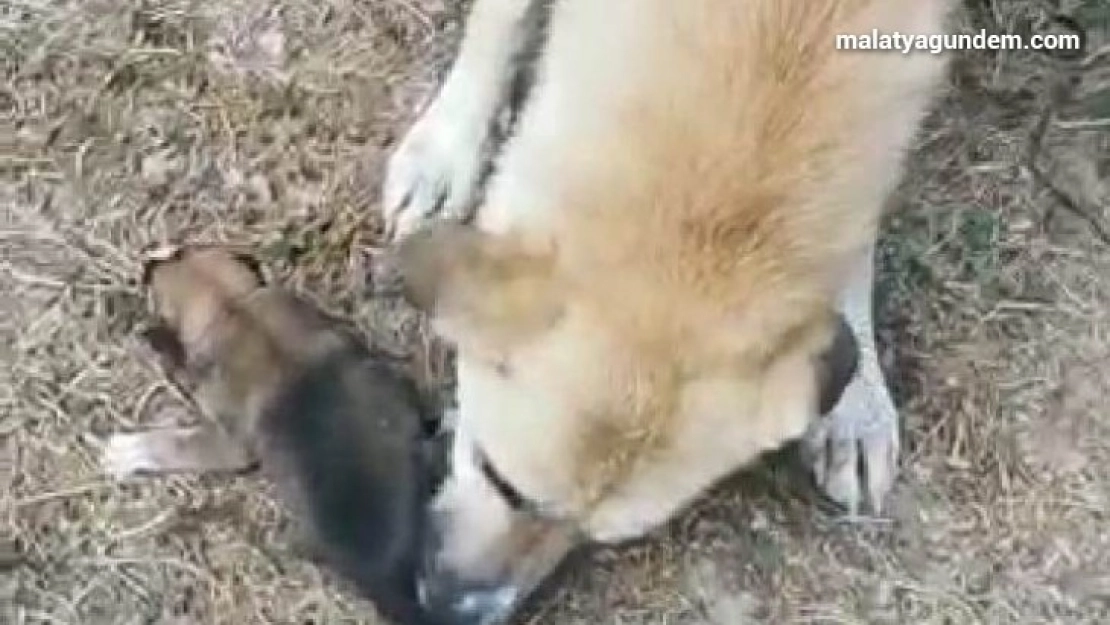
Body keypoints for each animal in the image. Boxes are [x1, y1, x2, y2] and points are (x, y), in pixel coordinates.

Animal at [101, 243, 446, 625]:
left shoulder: (228, 441)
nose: (147, 262)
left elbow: (180, 441)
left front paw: (126, 450)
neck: (232, 306)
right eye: (184, 250)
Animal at [379, 2, 954, 621]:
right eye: (497, 478)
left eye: (592, 538)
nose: (452, 612)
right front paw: (447, 149)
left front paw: (858, 398)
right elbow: (498, 19)